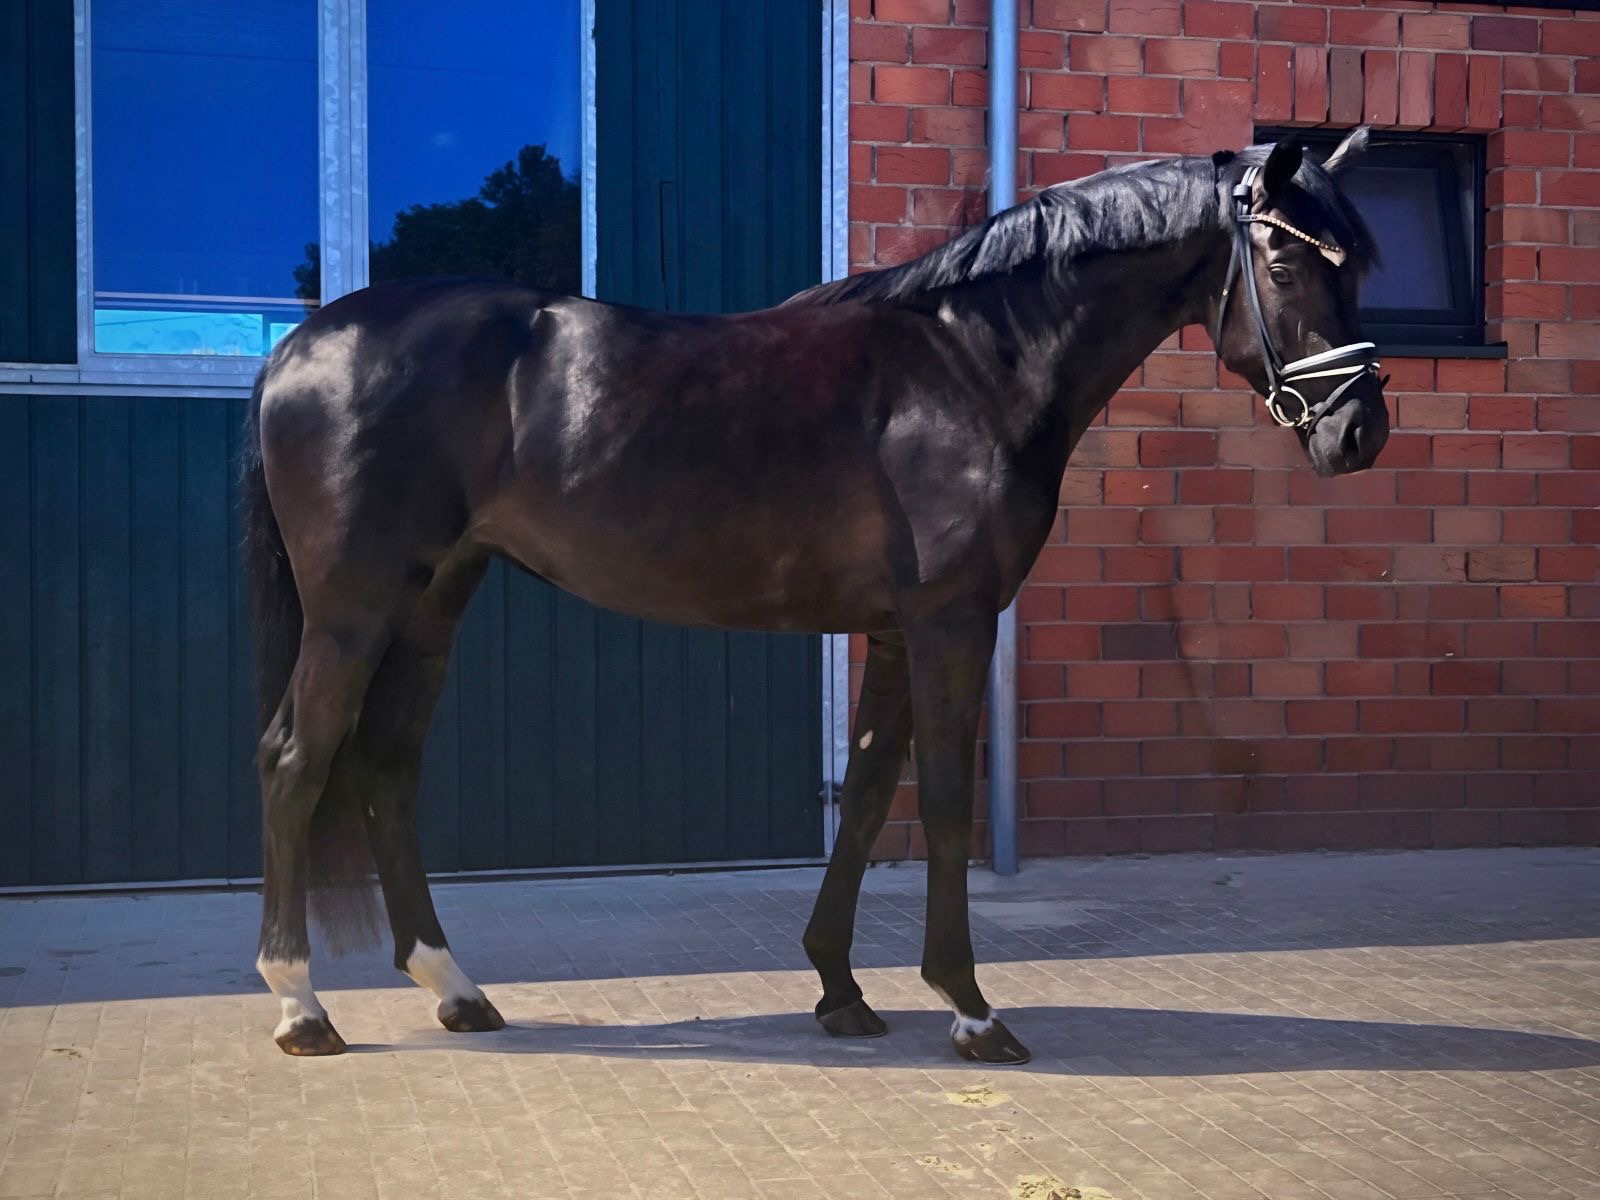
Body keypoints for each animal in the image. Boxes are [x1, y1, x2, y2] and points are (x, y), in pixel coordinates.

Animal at [244, 131, 1387, 1062]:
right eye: (1288, 258)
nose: (1359, 433)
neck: (970, 366)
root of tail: (302, 347)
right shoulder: (950, 622)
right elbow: (942, 801)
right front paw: (971, 1009)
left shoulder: (892, 632)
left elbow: (871, 795)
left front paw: (841, 989)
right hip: (353, 607)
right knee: (298, 759)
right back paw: (301, 1008)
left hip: (434, 601)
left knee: (387, 765)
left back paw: (455, 989)